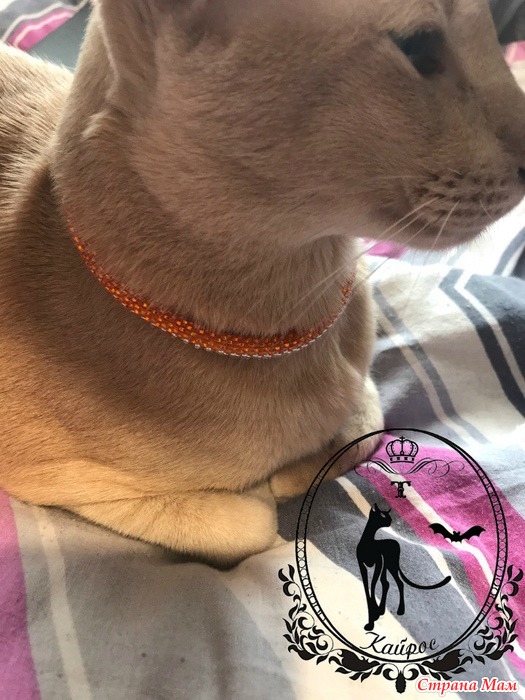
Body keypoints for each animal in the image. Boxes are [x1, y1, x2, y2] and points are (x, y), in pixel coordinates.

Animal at [0, 0, 524, 565]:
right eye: (418, 47)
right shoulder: (56, 478)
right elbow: (253, 526)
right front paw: (270, 489)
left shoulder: (362, 381)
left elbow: (368, 415)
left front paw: (303, 463)